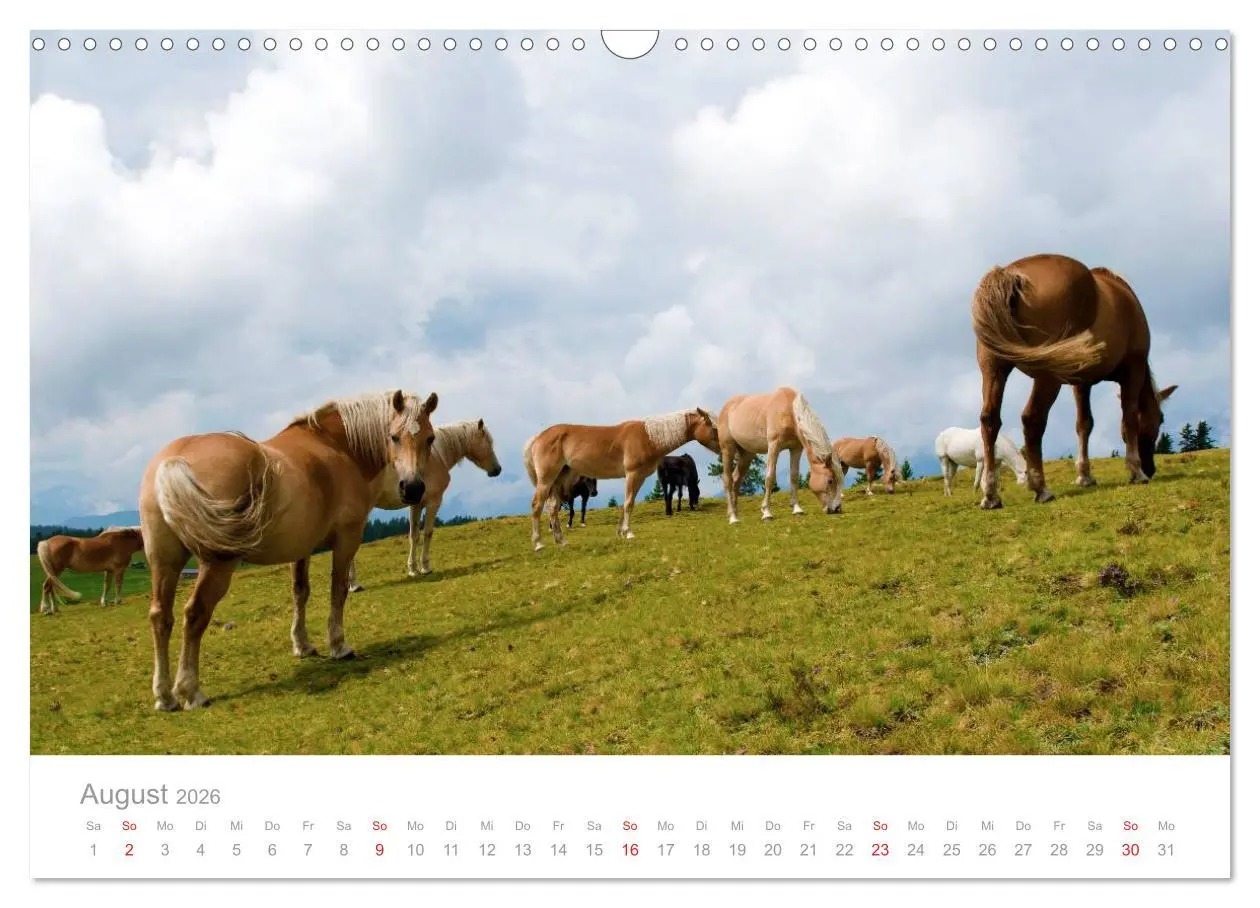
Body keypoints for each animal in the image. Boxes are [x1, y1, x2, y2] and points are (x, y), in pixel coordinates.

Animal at [138, 389, 438, 711]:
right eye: (394, 436)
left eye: (430, 438)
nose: (413, 488)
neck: (337, 447)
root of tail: (173, 460)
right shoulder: (347, 539)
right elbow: (338, 590)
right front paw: (339, 645)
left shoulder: (302, 548)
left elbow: (300, 592)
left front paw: (302, 645)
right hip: (217, 564)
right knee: (195, 614)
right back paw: (191, 691)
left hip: (164, 563)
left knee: (160, 617)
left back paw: (165, 696)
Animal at [347, 418, 502, 590]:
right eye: (488, 442)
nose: (497, 469)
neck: (437, 456)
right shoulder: (434, 502)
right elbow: (428, 533)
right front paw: (425, 567)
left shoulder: (416, 505)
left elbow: (414, 536)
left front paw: (412, 570)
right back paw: (354, 584)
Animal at [523, 407, 719, 550]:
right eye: (714, 427)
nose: (723, 447)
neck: (648, 438)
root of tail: (538, 437)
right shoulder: (633, 474)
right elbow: (629, 503)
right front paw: (629, 533)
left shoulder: (638, 477)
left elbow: (626, 503)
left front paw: (621, 532)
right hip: (546, 479)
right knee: (537, 505)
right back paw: (538, 543)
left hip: (559, 479)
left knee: (553, 507)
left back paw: (561, 541)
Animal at [716, 387, 845, 522]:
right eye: (830, 480)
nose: (837, 508)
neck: (789, 410)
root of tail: (726, 407)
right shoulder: (774, 446)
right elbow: (770, 477)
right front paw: (766, 512)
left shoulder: (796, 449)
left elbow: (794, 476)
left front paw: (797, 509)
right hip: (727, 449)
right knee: (728, 479)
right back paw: (733, 518)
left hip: (747, 454)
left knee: (736, 479)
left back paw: (735, 513)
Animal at [971, 253, 1177, 508]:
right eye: (1161, 419)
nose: (1150, 468)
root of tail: (1009, 274)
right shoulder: (1134, 369)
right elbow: (1129, 419)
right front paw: (1135, 471)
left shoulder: (1081, 382)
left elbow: (1084, 424)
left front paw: (1084, 475)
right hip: (1047, 377)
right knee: (1032, 419)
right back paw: (1041, 488)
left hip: (993, 370)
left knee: (989, 420)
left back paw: (990, 495)